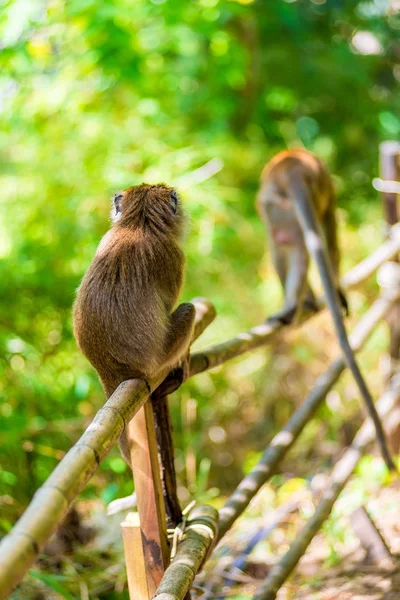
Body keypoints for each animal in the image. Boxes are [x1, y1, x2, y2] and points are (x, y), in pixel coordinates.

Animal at [258, 148, 396, 472]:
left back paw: (293, 306)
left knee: (286, 245)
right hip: (285, 207)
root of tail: (291, 165)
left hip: (276, 208)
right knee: (307, 242)